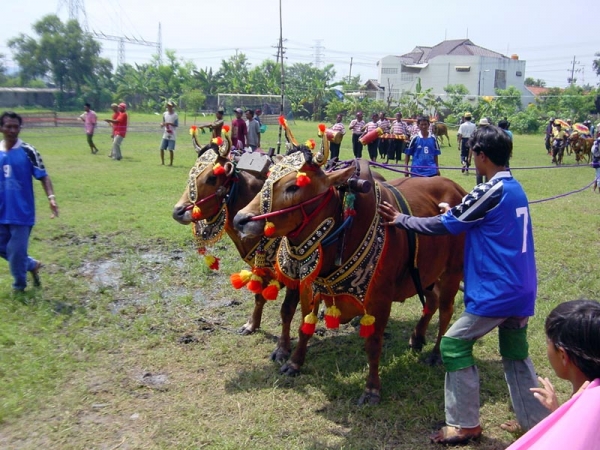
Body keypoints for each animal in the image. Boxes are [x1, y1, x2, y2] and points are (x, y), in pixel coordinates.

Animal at [172, 134, 298, 362]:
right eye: (191, 173)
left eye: (212, 178)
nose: (177, 211)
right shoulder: (259, 266)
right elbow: (258, 296)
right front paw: (251, 325)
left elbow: (286, 310)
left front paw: (282, 349)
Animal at [232, 148, 466, 404]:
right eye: (267, 177)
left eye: (293, 186)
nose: (240, 219)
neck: (342, 231)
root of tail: (459, 190)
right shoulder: (309, 287)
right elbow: (304, 326)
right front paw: (294, 363)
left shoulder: (379, 300)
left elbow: (373, 343)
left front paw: (372, 389)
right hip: (426, 274)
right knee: (431, 301)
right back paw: (417, 337)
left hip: (453, 272)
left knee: (445, 311)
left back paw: (436, 353)